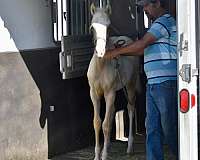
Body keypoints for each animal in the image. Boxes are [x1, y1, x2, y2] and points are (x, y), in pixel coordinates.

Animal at [86, 1, 140, 159]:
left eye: (108, 26)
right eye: (92, 27)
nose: (100, 52)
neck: (100, 67)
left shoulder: (110, 93)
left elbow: (105, 125)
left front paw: (104, 155)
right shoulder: (94, 94)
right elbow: (97, 122)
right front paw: (97, 154)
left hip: (130, 85)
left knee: (130, 108)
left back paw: (129, 147)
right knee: (112, 112)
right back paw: (109, 145)